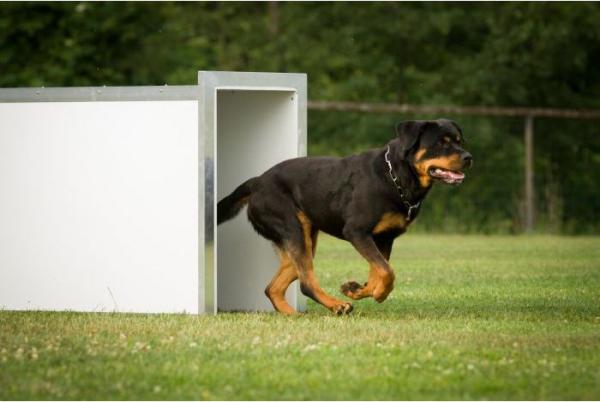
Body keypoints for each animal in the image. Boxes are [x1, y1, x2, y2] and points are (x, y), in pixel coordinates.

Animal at [217, 119, 472, 315]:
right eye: (440, 143)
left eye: (459, 142)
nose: (469, 157)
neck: (396, 177)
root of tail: (257, 181)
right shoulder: (357, 232)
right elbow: (387, 272)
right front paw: (377, 294)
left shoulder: (385, 238)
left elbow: (378, 271)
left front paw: (357, 289)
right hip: (292, 228)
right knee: (306, 283)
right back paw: (336, 306)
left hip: (303, 239)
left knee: (274, 287)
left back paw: (293, 315)